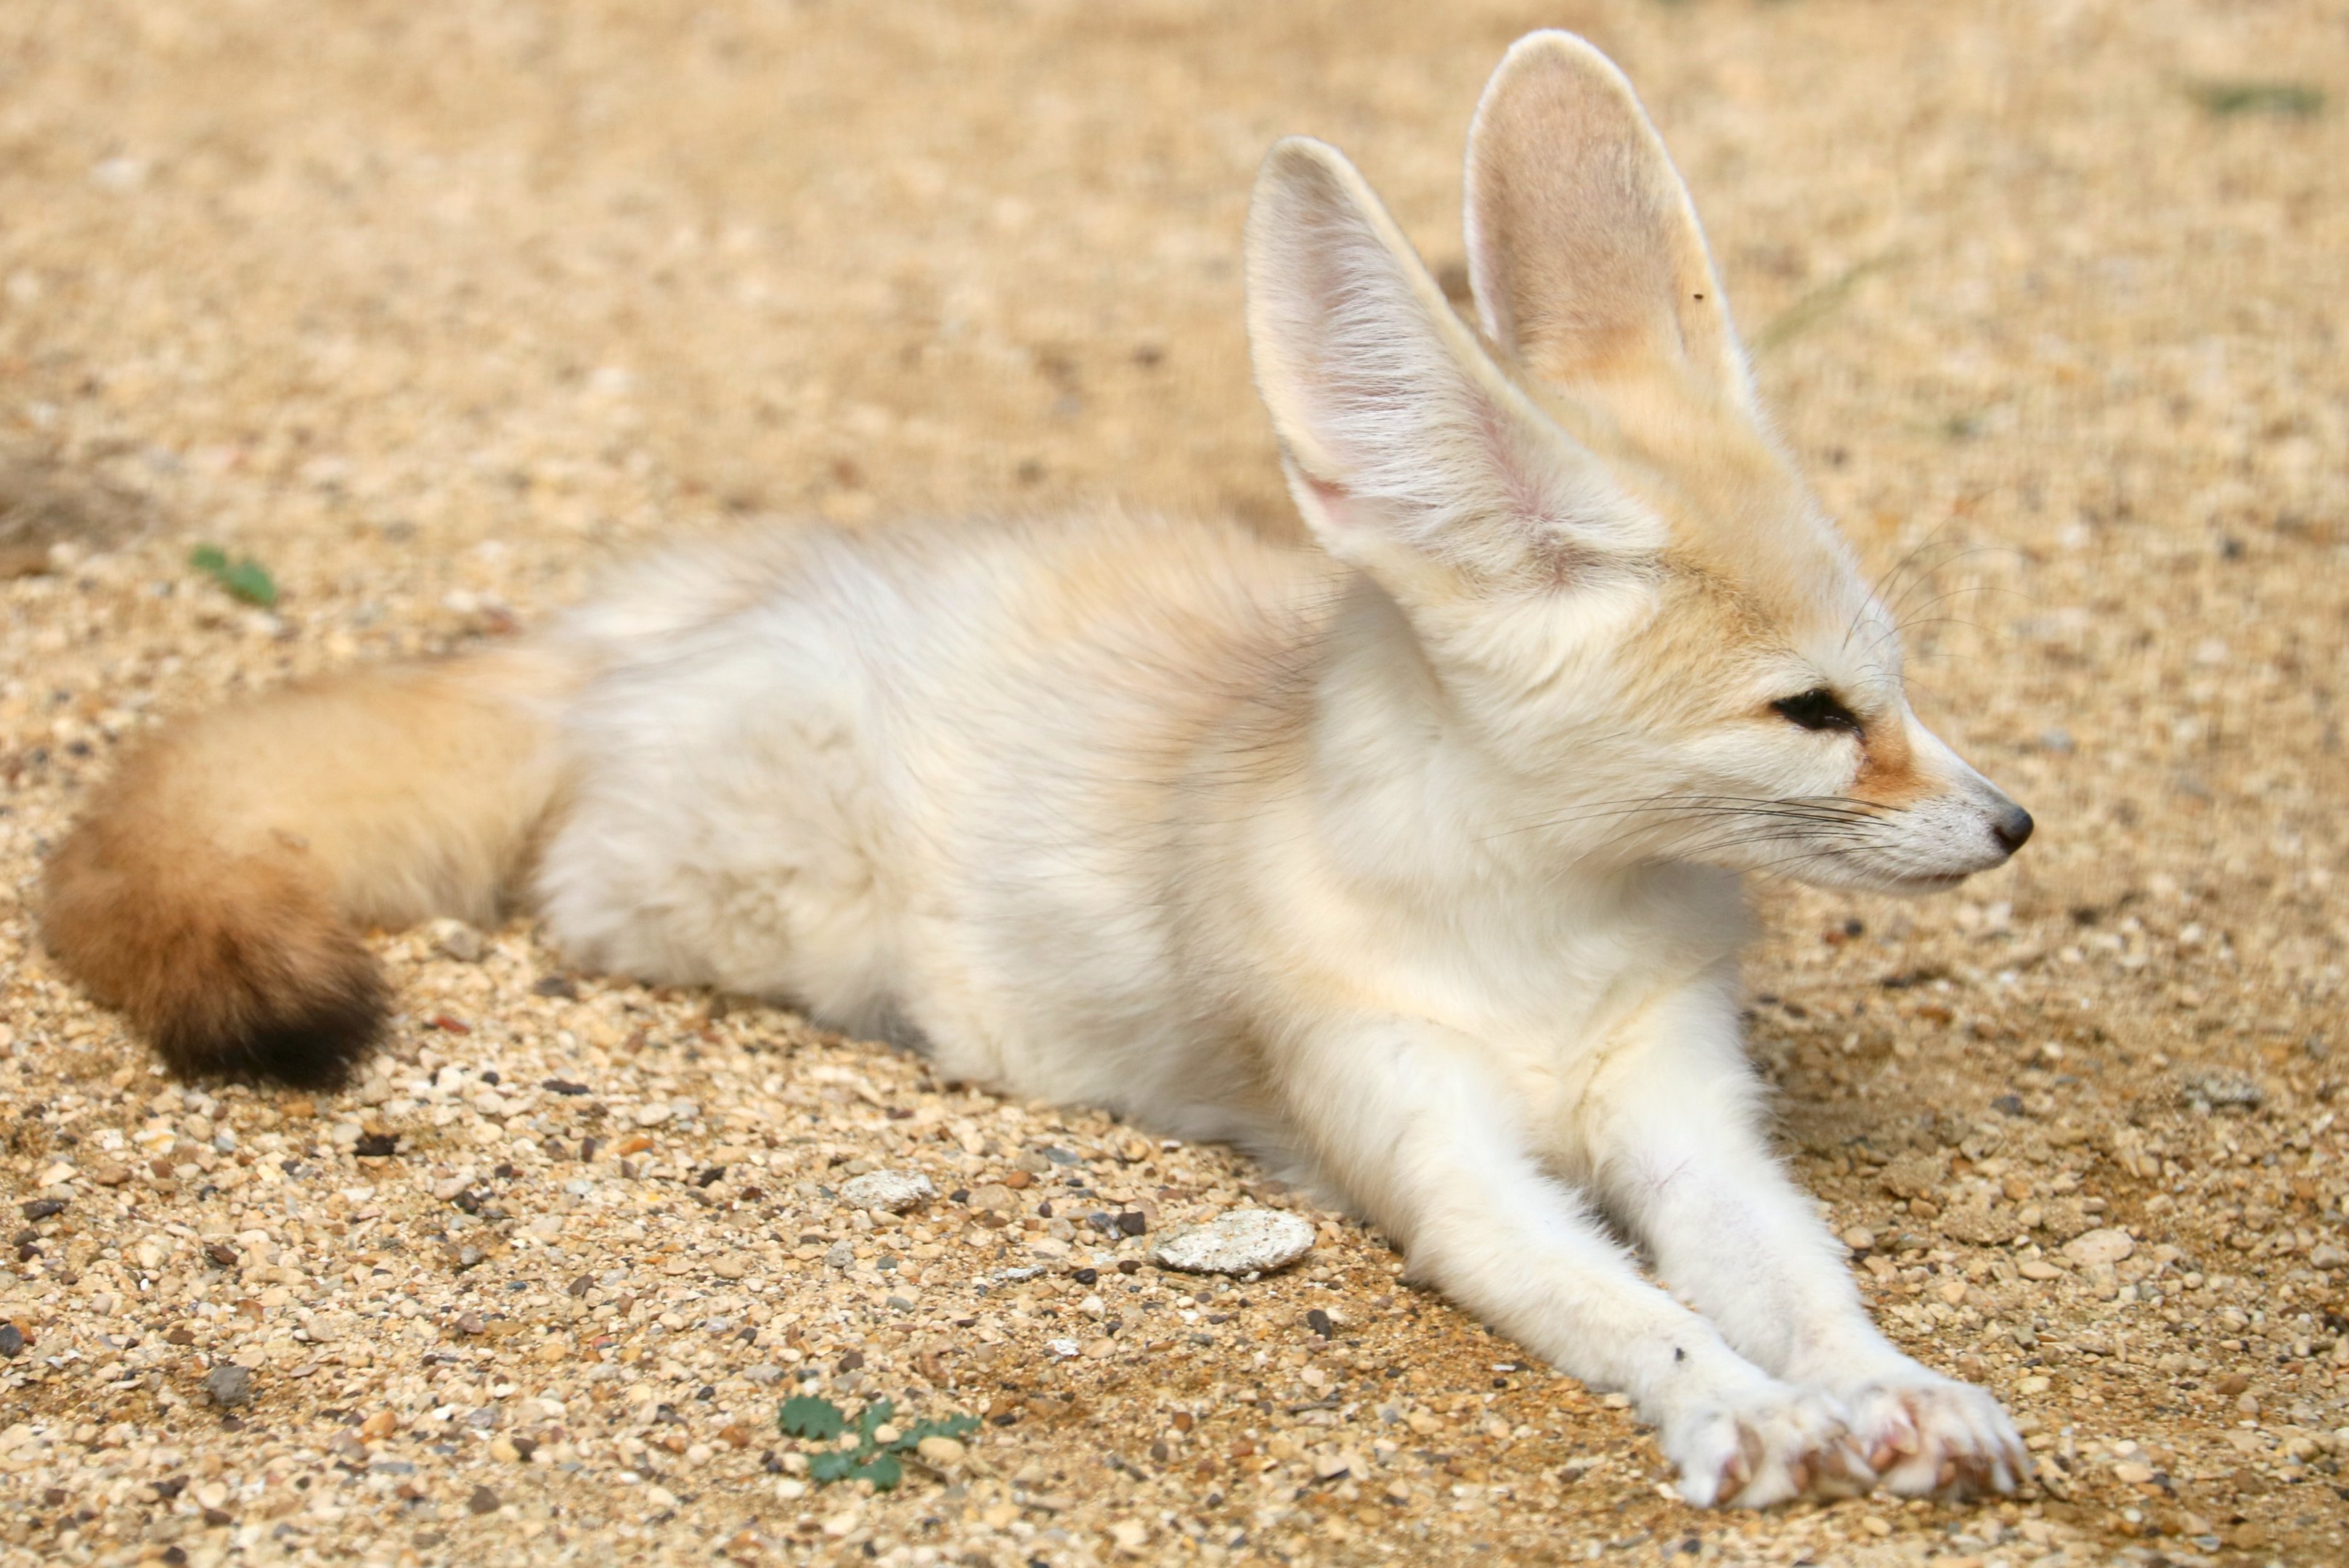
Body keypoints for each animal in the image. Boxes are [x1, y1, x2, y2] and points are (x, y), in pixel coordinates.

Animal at [42, 34, 2034, 1507]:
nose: (2011, 824)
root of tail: (627, 626)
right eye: (1811, 713)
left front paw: (1887, 1389)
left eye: (1896, 679)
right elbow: (1628, 1307)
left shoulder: (1688, 1113)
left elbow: (1796, 1275)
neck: (1537, 933)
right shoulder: (1428, 1146)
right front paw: (1744, 1410)